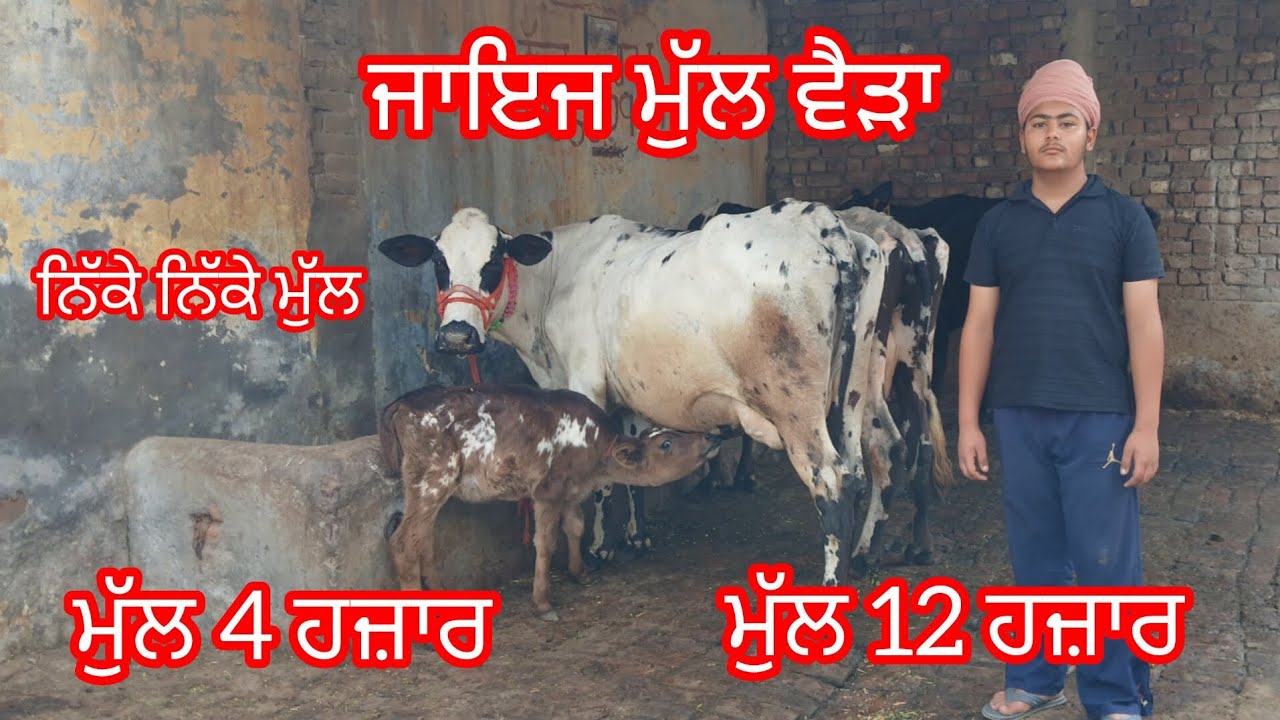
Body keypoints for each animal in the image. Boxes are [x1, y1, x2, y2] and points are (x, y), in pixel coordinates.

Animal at [377, 199, 887, 587]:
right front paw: (637, 537)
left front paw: (600, 548)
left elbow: (601, 474)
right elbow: (632, 457)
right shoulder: (627, 393)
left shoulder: (585, 384)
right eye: (439, 263)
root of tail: (819, 220)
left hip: (793, 404)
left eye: (493, 261)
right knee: (861, 470)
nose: (457, 336)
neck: (555, 282)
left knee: (831, 481)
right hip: (852, 394)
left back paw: (831, 586)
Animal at [378, 382, 720, 621]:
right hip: (434, 475)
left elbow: (576, 528)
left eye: (674, 432)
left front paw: (580, 572)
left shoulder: (572, 490)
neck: (596, 452)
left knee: (423, 538)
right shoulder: (548, 489)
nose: (711, 437)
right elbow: (545, 542)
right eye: (666, 444)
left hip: (431, 485)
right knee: (403, 542)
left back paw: (440, 595)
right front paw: (542, 603)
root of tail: (402, 403)